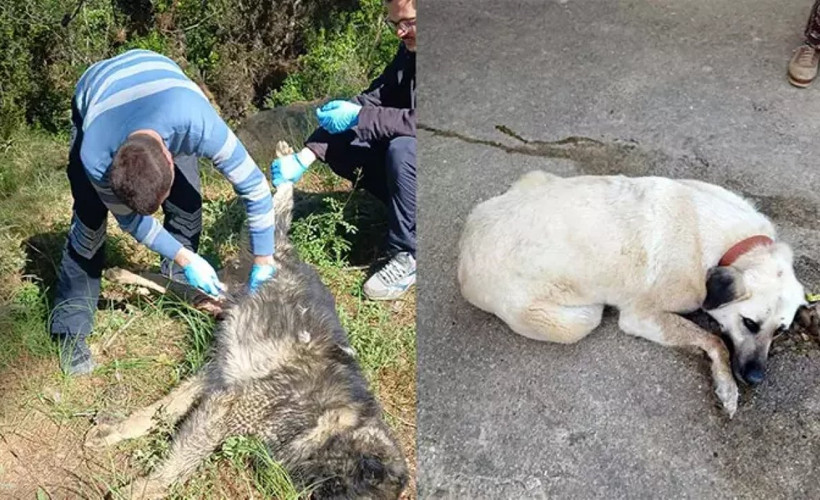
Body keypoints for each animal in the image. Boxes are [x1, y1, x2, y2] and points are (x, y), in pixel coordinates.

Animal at [85, 144, 408, 496]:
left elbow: (162, 411)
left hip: (216, 297)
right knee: (276, 207)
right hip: (255, 244)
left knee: (176, 286)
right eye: (342, 489)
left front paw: (116, 433)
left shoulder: (216, 380)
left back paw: (126, 276)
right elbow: (181, 465)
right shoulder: (229, 407)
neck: (336, 418)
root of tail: (290, 254)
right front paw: (144, 488)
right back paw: (285, 170)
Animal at [458, 170, 812, 416]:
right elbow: (714, 340)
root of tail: (465, 246)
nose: (755, 378)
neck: (735, 246)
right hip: (577, 320)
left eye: (780, 331)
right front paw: (727, 387)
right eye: (750, 323)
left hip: (538, 177)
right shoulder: (641, 317)